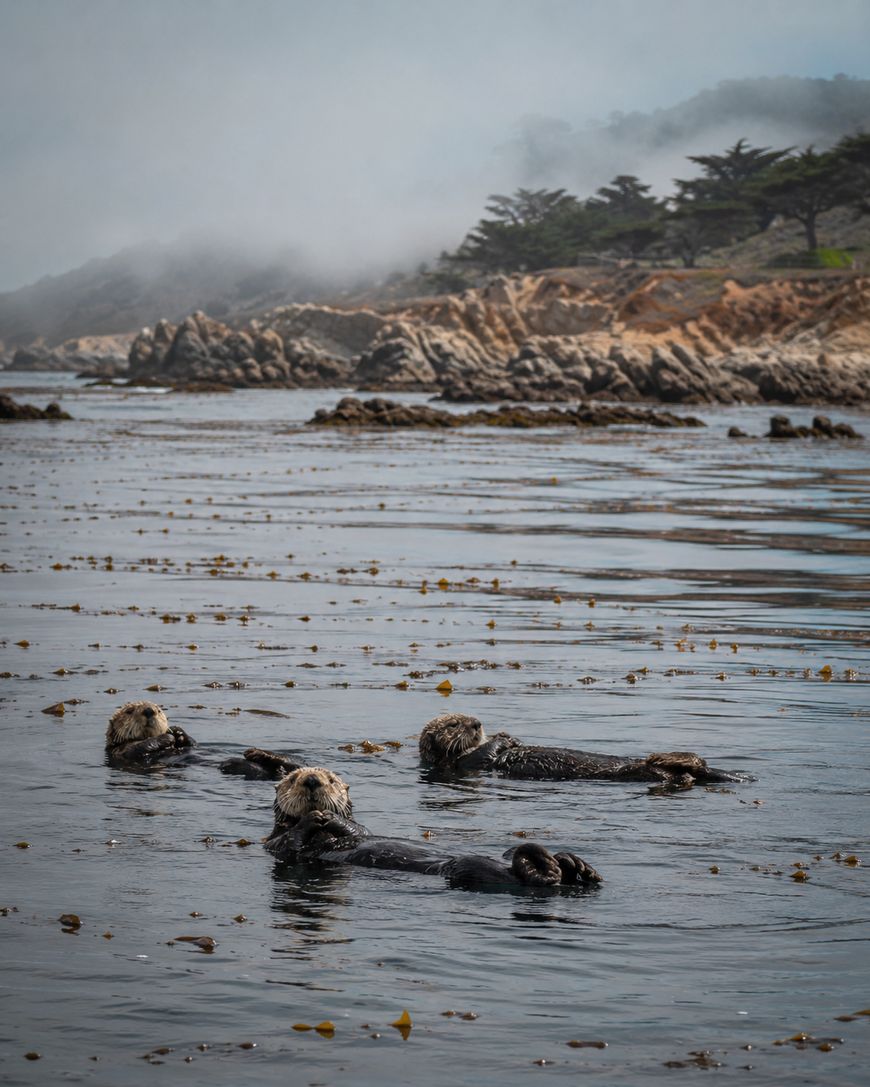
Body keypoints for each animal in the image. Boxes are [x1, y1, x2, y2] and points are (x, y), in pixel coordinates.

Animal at [106, 702, 298, 779]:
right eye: (129, 711)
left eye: (159, 710)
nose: (149, 710)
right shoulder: (121, 751)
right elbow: (141, 746)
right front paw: (167, 736)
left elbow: (191, 743)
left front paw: (178, 732)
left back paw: (257, 753)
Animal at [265, 766, 602, 891]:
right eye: (293, 777)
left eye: (332, 780)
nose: (312, 780)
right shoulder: (276, 845)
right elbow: (292, 843)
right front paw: (314, 819)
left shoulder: (361, 830)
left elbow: (359, 831)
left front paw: (331, 818)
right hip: (469, 870)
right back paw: (560, 866)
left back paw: (576, 865)